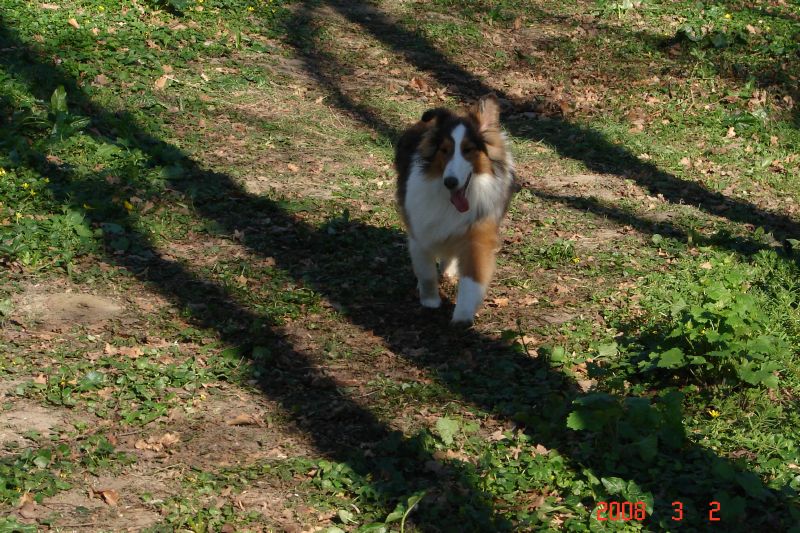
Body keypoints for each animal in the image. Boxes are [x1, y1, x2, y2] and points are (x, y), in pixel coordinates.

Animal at [396, 93, 520, 322]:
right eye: (444, 150)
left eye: (468, 150)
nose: (450, 182)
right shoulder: (420, 231)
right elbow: (426, 272)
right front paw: (430, 301)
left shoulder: (478, 235)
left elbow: (473, 278)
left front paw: (462, 316)